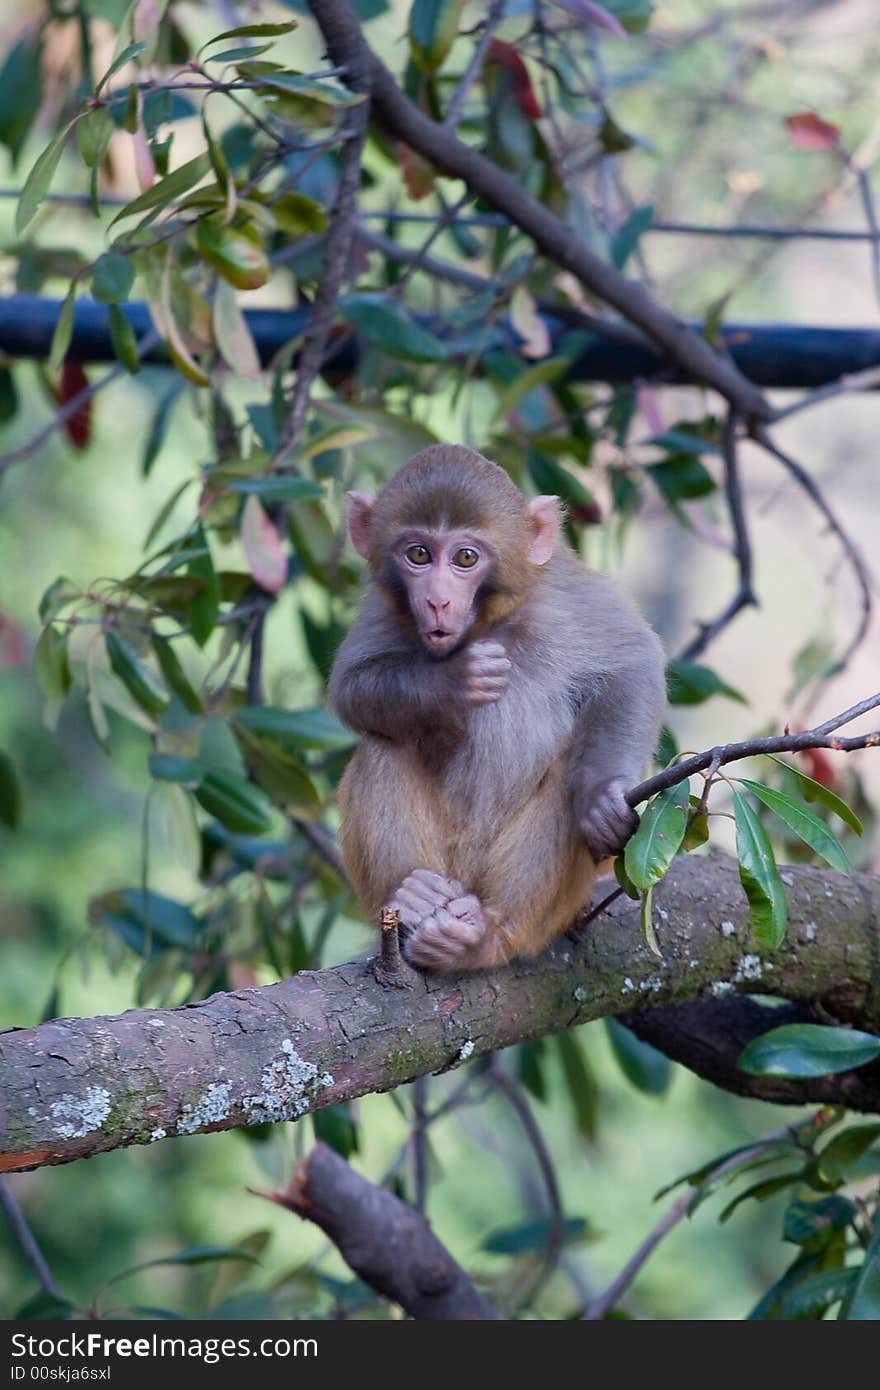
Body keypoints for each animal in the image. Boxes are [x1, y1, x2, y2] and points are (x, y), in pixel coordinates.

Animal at [329, 450, 664, 973]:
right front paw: (452, 680)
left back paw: (484, 939)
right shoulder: (385, 604)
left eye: (466, 557)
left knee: (563, 778)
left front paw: (600, 796)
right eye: (418, 554)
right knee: (385, 743)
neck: (490, 622)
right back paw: (415, 897)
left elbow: (633, 663)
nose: (437, 600)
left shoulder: (563, 592)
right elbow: (349, 686)